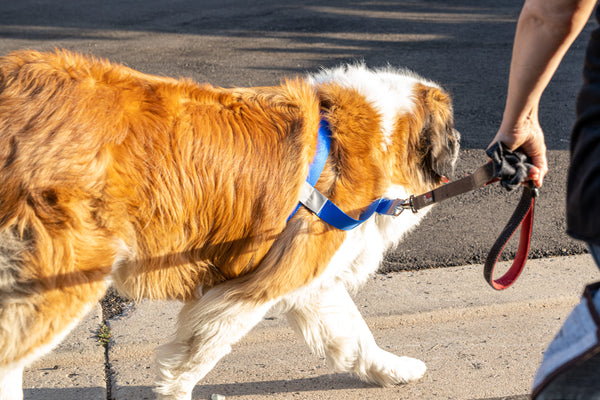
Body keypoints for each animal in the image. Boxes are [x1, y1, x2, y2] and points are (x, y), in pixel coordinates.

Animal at [0, 48, 460, 398]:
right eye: (450, 129)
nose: (458, 144)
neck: (379, 132)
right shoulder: (254, 289)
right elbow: (199, 352)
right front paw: (176, 391)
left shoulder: (307, 273)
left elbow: (352, 335)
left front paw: (392, 369)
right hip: (67, 269)